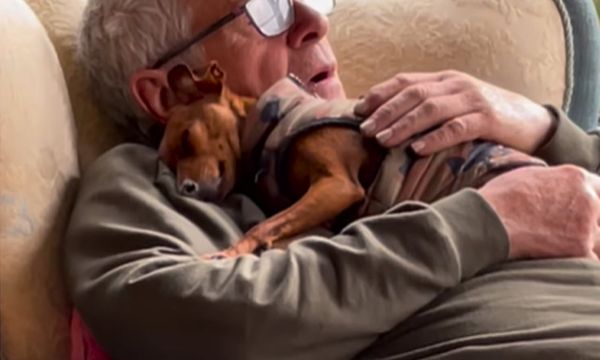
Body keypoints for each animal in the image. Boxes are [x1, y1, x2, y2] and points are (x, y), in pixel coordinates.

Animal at [158, 62, 544, 258]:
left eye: (187, 137)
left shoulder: (338, 185)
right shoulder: (325, 213)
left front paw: (231, 250)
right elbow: (281, 227)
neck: (270, 124)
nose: (184, 188)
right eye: (168, 162)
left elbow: (263, 226)